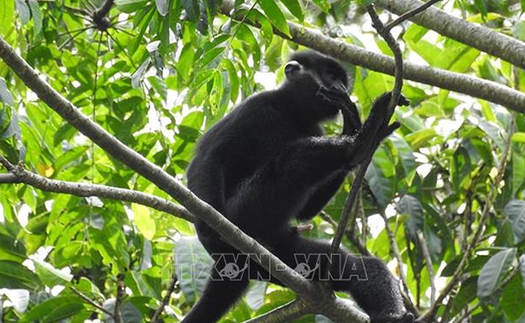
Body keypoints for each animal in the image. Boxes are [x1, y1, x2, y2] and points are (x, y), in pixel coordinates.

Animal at [184, 52, 414, 322]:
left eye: (341, 80)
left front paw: (352, 126)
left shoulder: (313, 127)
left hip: (285, 252)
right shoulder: (255, 106)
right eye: (330, 75)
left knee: (357, 267)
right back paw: (360, 140)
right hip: (243, 211)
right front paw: (208, 232)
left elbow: (308, 210)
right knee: (291, 160)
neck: (291, 111)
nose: (340, 88)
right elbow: (210, 158)